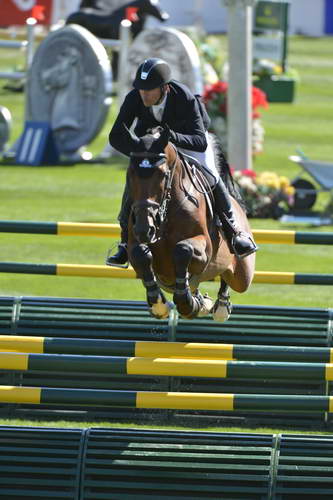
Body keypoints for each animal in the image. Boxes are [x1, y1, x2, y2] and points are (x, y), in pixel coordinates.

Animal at [123, 125, 255, 320]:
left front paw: (187, 303)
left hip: (242, 274)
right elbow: (141, 254)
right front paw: (158, 304)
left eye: (162, 174)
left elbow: (183, 249)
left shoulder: (204, 250)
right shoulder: (135, 245)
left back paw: (221, 306)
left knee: (230, 278)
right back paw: (202, 301)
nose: (144, 228)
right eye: (130, 173)